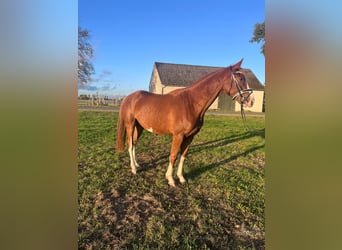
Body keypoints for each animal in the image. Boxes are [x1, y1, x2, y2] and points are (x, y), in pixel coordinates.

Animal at [117, 59, 254, 187]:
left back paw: (136, 164)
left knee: (134, 144)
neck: (191, 103)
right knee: (130, 145)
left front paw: (181, 178)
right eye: (241, 78)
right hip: (130, 126)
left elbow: (183, 156)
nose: (251, 101)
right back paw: (133, 169)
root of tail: (128, 97)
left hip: (139, 127)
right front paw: (170, 179)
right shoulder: (178, 135)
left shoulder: (190, 136)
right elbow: (173, 156)